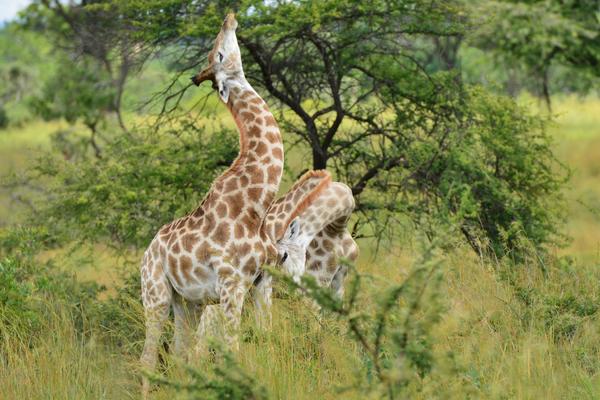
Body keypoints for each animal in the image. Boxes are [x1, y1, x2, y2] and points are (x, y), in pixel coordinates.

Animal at [138, 12, 284, 396]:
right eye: (219, 55)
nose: (229, 17)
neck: (256, 203)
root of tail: (146, 251)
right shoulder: (232, 285)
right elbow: (232, 349)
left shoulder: (262, 280)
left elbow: (266, 340)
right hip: (156, 294)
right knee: (148, 358)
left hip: (187, 303)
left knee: (180, 353)